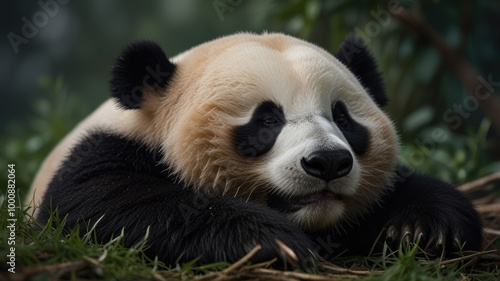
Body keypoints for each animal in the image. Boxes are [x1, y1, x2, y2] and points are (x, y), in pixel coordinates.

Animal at [26, 32, 480, 266]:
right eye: (267, 120)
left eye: (342, 117)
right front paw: (271, 240)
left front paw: (422, 227)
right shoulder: (108, 146)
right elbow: (97, 199)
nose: (328, 162)